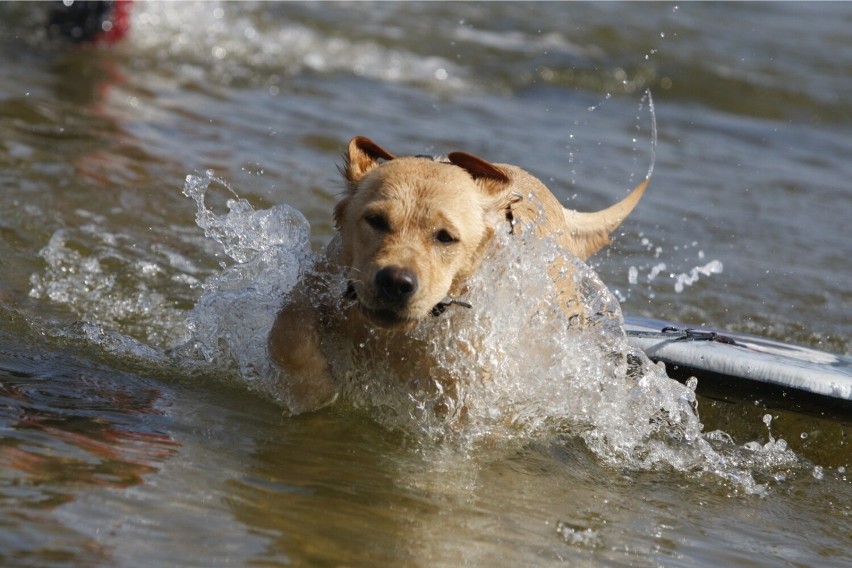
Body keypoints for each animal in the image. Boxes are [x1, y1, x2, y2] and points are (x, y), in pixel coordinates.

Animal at [266, 135, 644, 414]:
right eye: (376, 220)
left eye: (445, 237)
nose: (395, 282)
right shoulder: (319, 283)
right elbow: (288, 333)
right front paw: (311, 389)